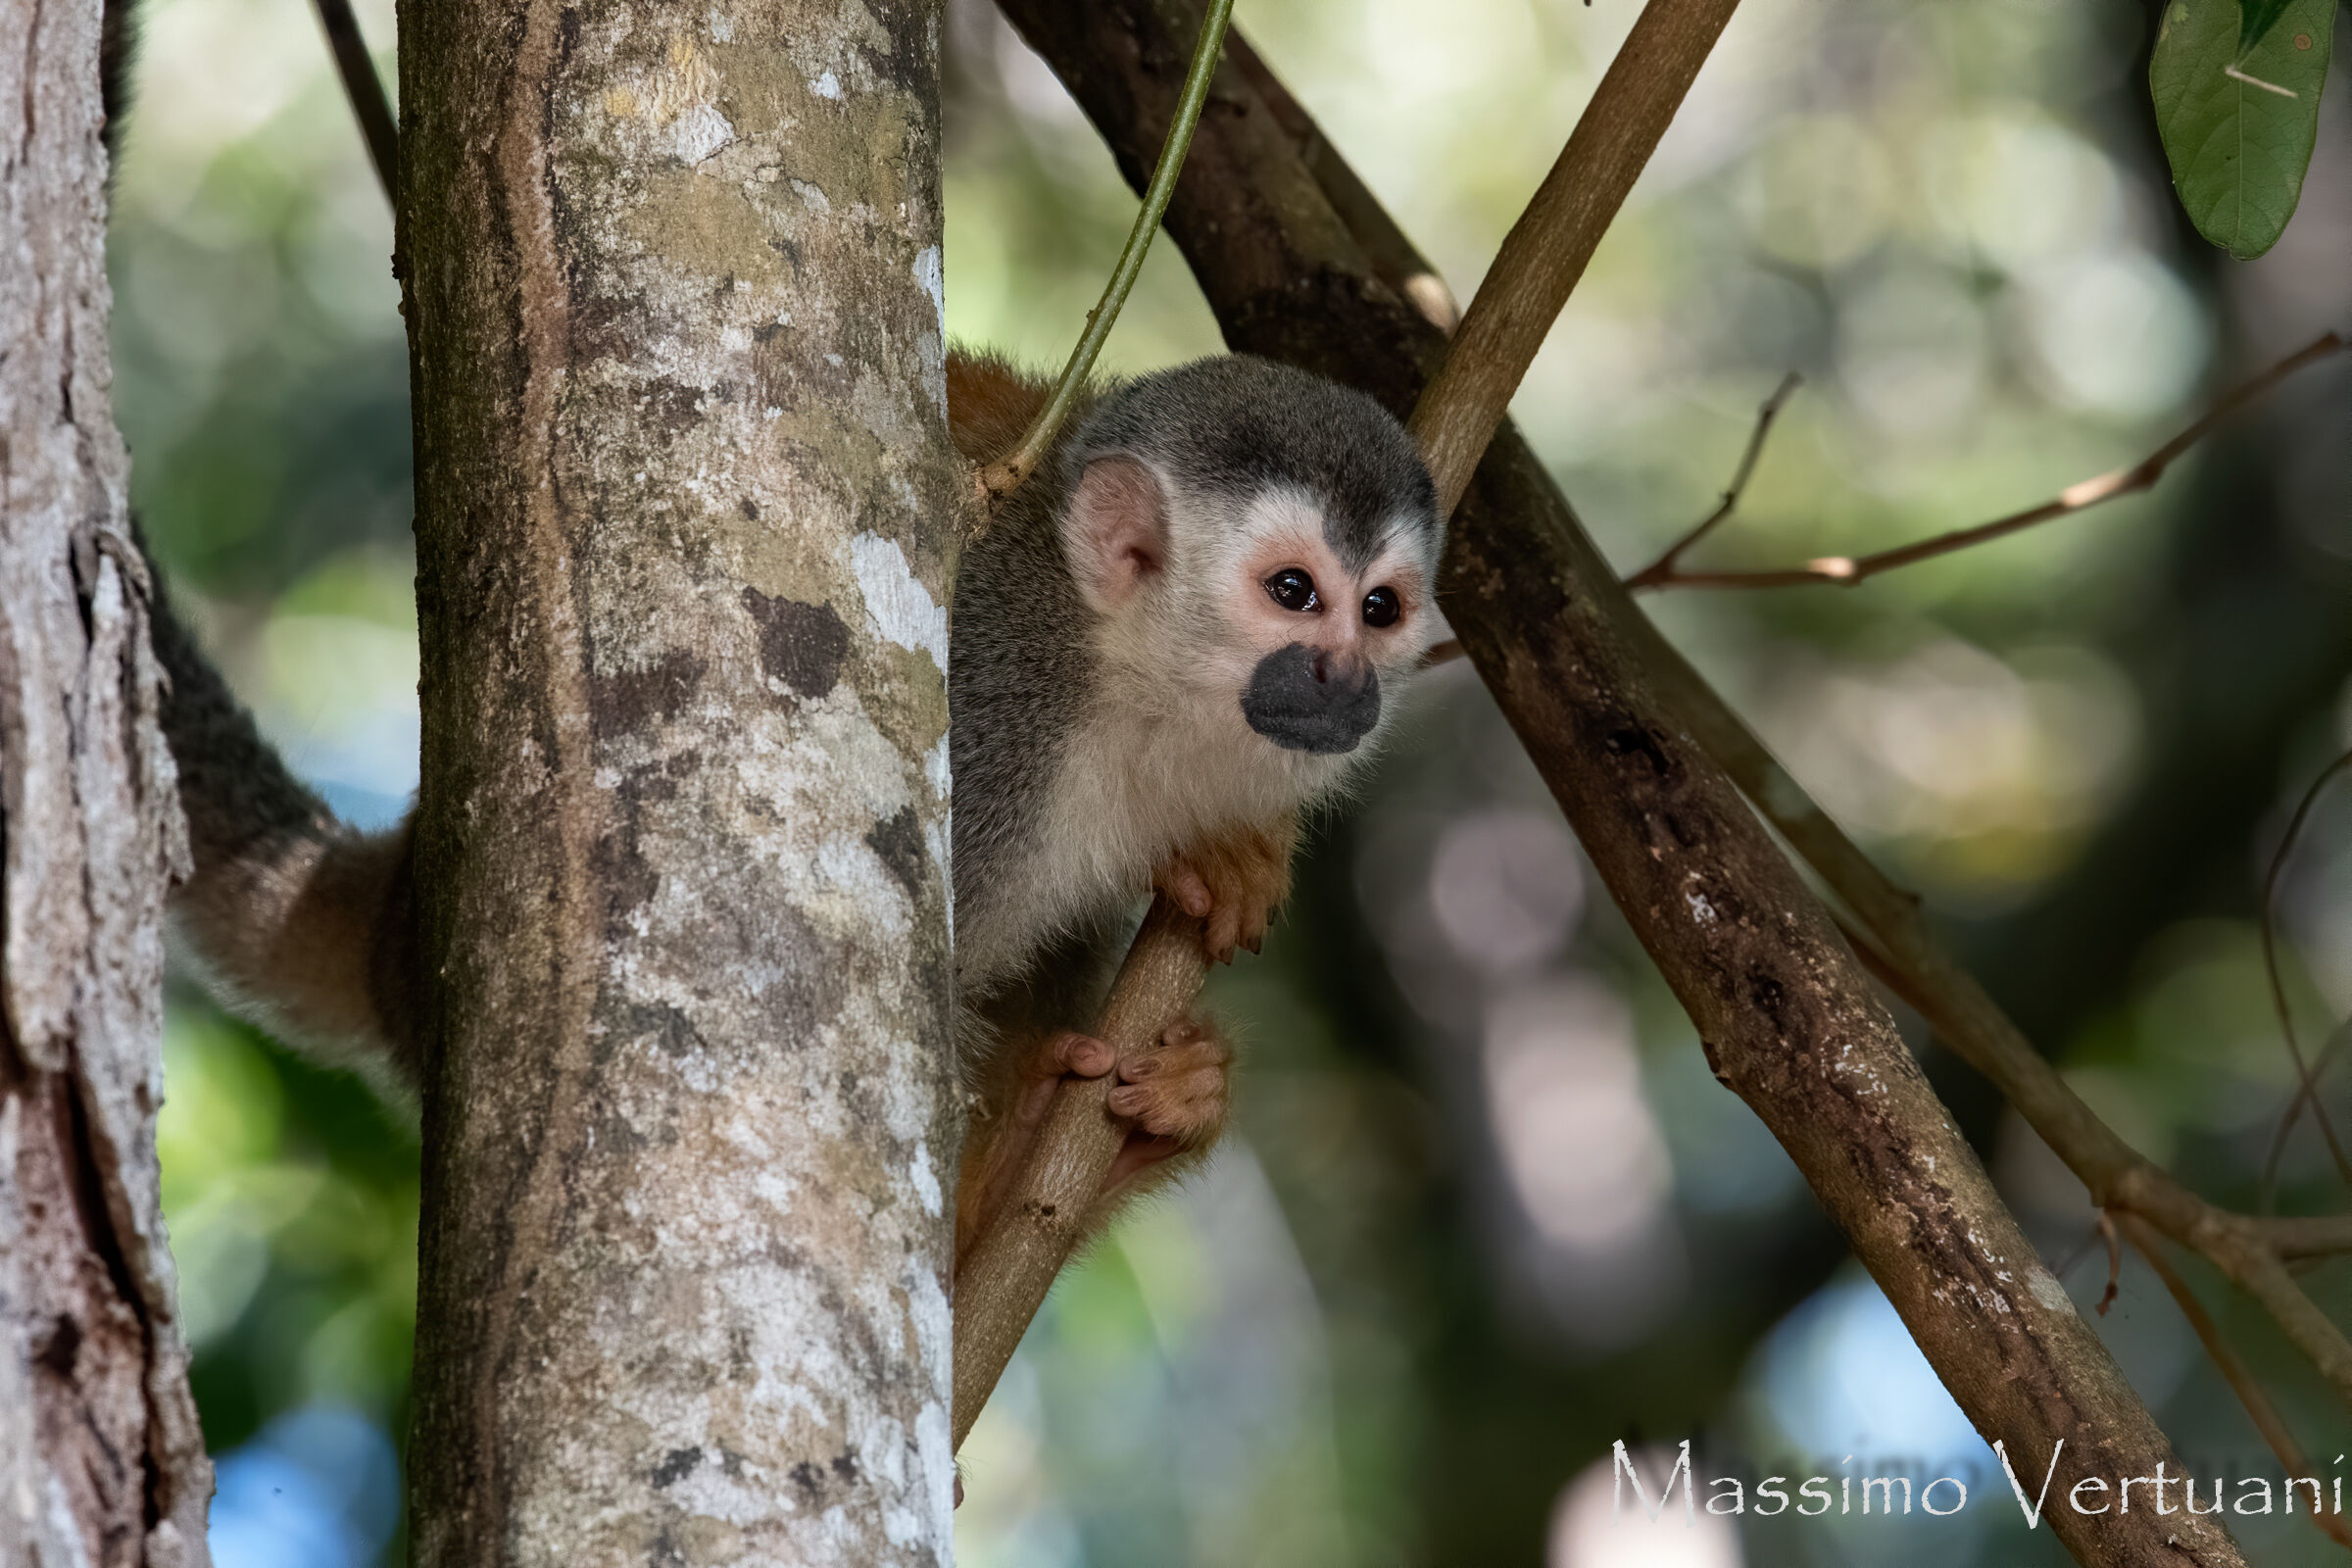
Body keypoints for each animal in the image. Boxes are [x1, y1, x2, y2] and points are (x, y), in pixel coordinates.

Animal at [142, 350, 1444, 1266]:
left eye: (1379, 607)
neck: (1115, 682)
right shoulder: (997, 719)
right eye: (1294, 592)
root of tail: (397, 917)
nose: (1347, 680)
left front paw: (1236, 856)